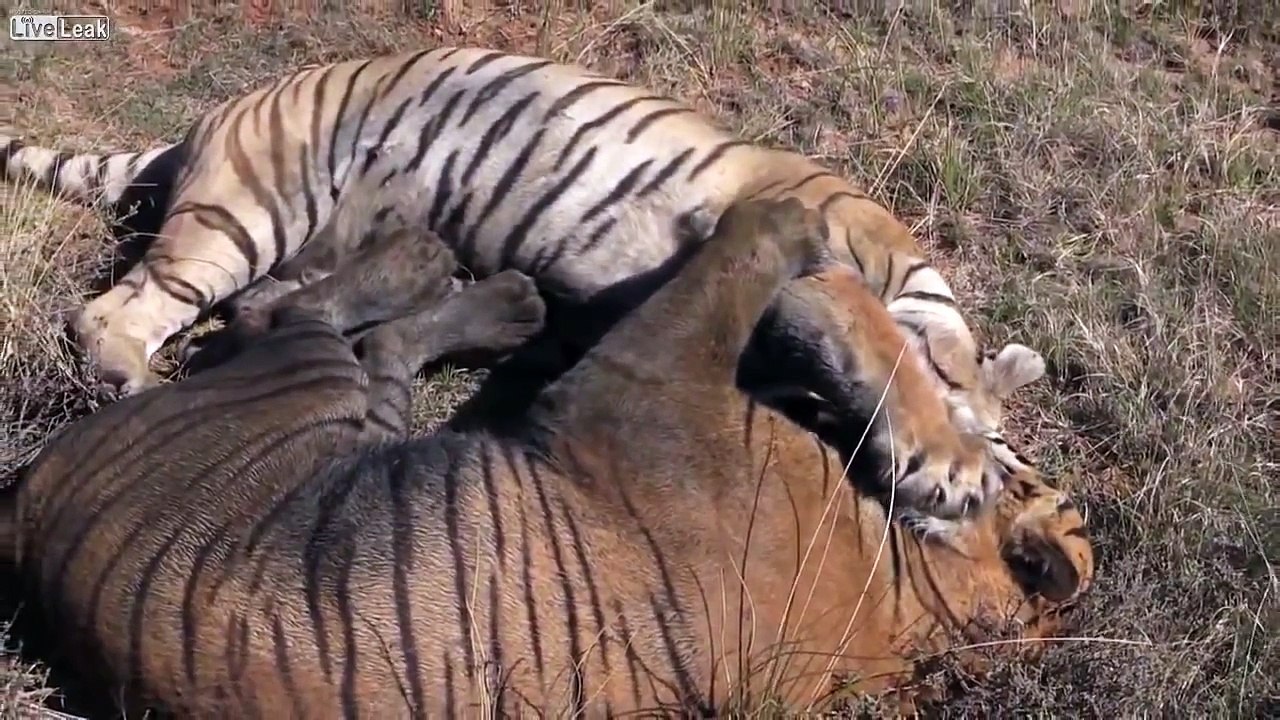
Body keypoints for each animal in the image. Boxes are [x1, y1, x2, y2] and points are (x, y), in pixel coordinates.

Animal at [1, 45, 1048, 523]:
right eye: (1002, 447)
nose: (1008, 477)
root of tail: (210, 118)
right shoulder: (821, 260)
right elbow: (888, 350)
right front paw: (948, 463)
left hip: (304, 243)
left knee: (268, 310)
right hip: (246, 213)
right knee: (113, 309)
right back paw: (129, 379)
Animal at [2, 197, 1094, 718]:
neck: (911, 596)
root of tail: (24, 514)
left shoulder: (649, 366)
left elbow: (743, 251)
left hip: (305, 391)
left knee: (297, 315)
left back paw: (451, 274)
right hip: (364, 421)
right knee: (345, 329)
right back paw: (481, 291)